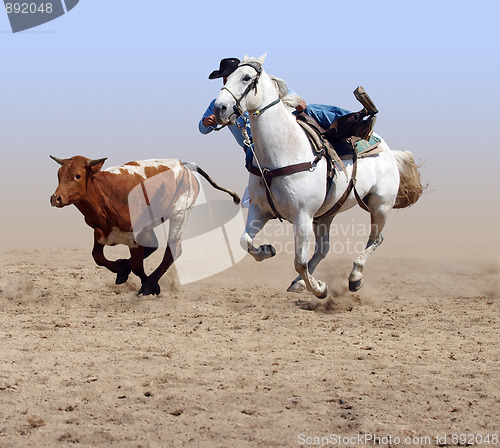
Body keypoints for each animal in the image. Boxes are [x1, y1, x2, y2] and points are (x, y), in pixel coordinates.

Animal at [50, 156, 240, 296]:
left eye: (77, 176)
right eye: (59, 175)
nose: (56, 198)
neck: (105, 196)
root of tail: (183, 165)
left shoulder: (135, 235)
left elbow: (137, 266)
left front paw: (148, 285)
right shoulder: (101, 232)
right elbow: (98, 257)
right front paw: (121, 268)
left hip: (180, 214)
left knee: (173, 249)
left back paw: (150, 282)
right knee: (154, 246)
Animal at [213, 55, 420, 298]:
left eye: (246, 77)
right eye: (228, 76)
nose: (220, 108)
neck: (283, 152)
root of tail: (389, 151)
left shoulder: (302, 216)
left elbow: (299, 261)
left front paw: (320, 289)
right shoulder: (260, 209)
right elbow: (245, 241)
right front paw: (267, 249)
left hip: (380, 205)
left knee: (376, 238)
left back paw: (354, 277)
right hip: (326, 215)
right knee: (324, 249)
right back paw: (299, 283)